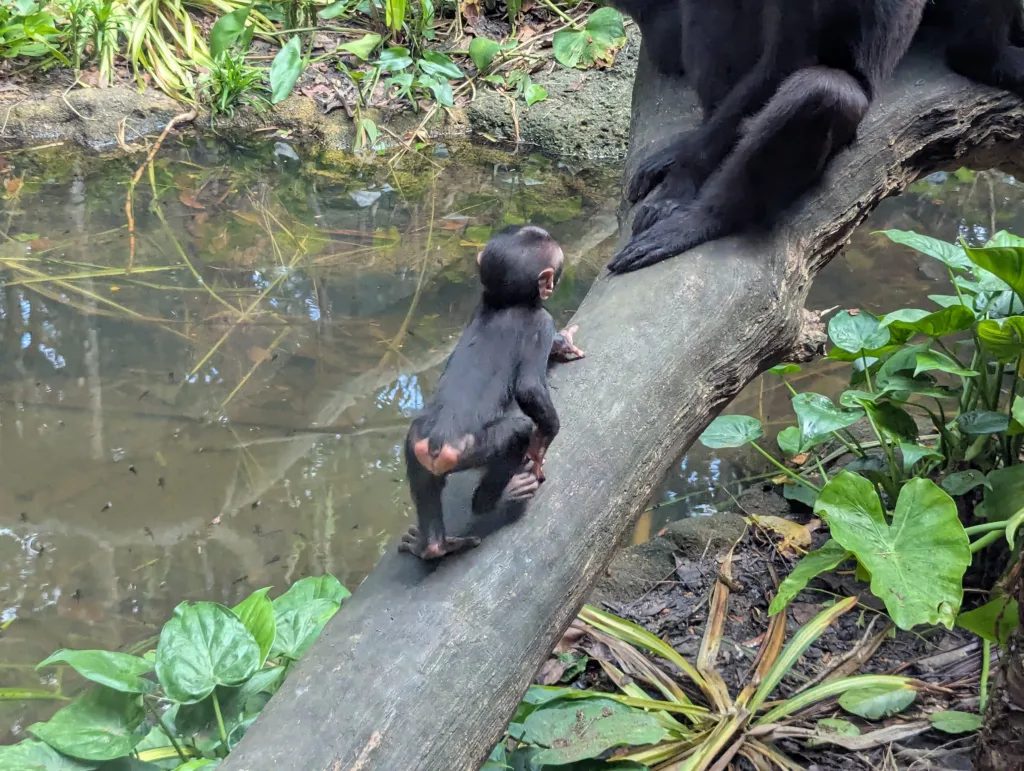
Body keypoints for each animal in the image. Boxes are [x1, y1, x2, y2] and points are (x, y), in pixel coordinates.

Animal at [399, 225, 584, 561]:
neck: (504, 303)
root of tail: (435, 445)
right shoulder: (541, 321)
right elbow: (529, 389)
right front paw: (542, 446)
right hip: (471, 448)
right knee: (517, 432)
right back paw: (502, 496)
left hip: (414, 446)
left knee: (424, 484)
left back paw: (434, 546)